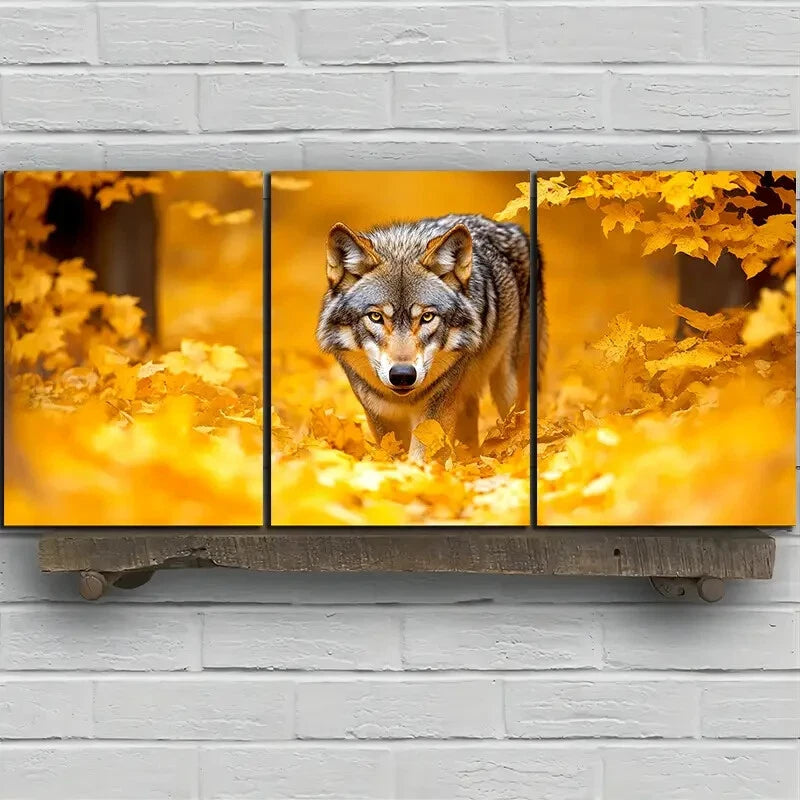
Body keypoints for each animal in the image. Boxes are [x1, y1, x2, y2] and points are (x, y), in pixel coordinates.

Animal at [316, 213, 536, 460]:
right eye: (375, 316)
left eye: (427, 317)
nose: (402, 375)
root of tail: (507, 225)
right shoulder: (380, 414)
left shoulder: (436, 408)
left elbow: (421, 456)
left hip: (508, 386)